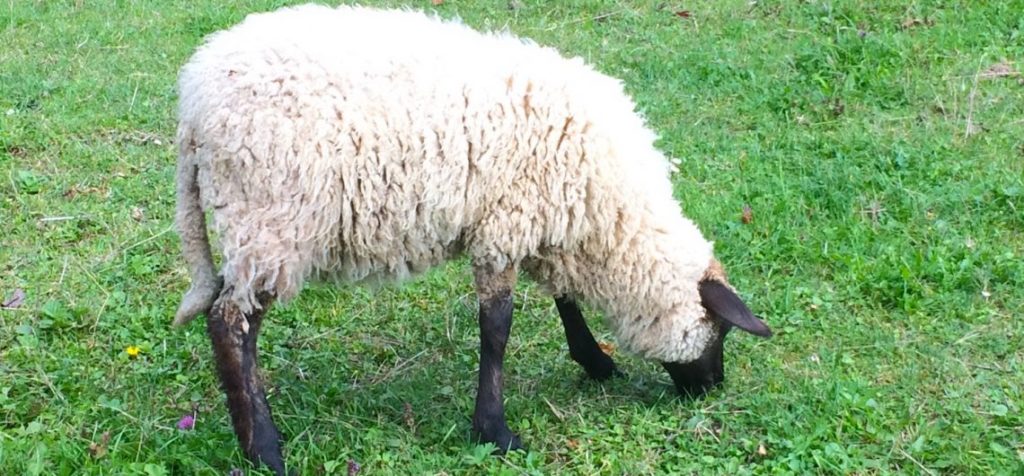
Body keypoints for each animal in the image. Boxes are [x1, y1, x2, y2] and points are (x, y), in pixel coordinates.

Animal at [172, 4, 770, 474]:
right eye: (721, 331)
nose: (712, 387)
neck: (611, 222)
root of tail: (193, 100)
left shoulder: (545, 218)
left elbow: (562, 297)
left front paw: (594, 361)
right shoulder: (504, 227)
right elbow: (497, 329)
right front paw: (495, 431)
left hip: (249, 225)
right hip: (271, 221)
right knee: (230, 325)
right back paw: (265, 453)